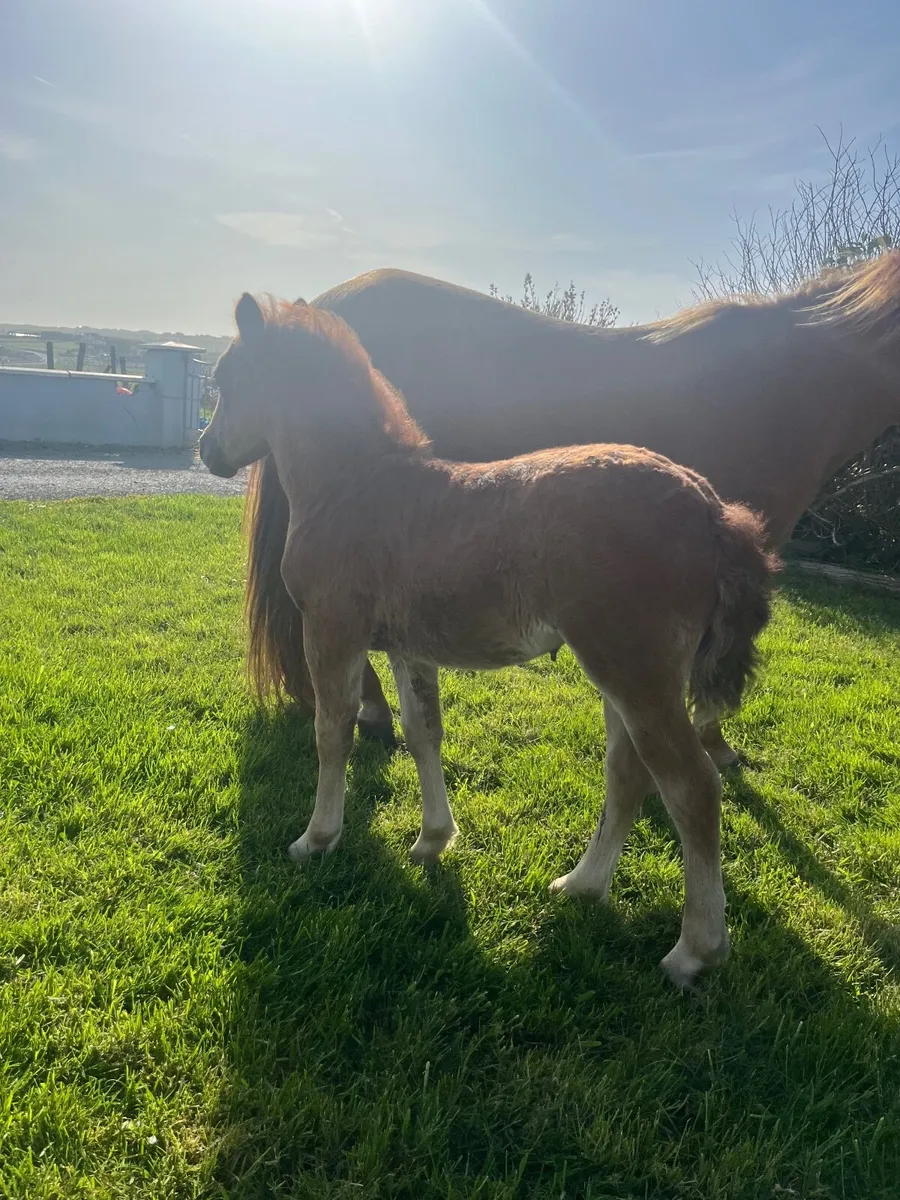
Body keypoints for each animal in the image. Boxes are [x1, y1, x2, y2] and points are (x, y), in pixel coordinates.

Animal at [200, 292, 778, 987]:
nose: (207, 451)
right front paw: (431, 840)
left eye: (228, 378)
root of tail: (711, 507)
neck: (355, 485)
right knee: (627, 774)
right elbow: (423, 732)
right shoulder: (406, 645)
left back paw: (694, 950)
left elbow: (332, 732)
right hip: (624, 676)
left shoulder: (332, 631)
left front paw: (316, 839)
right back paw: (582, 885)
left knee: (691, 788)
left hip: (634, 672)